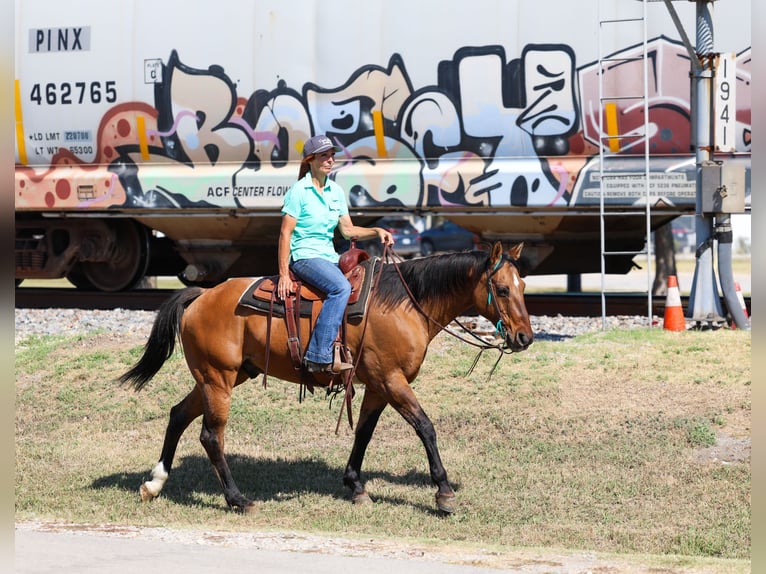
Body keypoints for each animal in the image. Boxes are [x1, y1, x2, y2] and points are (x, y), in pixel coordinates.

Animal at [118, 241, 533, 514]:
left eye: (524, 286)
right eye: (501, 289)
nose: (525, 338)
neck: (405, 303)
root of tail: (201, 296)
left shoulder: (377, 385)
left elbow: (364, 433)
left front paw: (355, 485)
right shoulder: (392, 380)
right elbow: (426, 428)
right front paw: (443, 492)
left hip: (220, 377)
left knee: (177, 415)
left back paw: (154, 483)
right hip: (218, 379)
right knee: (210, 435)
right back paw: (237, 500)